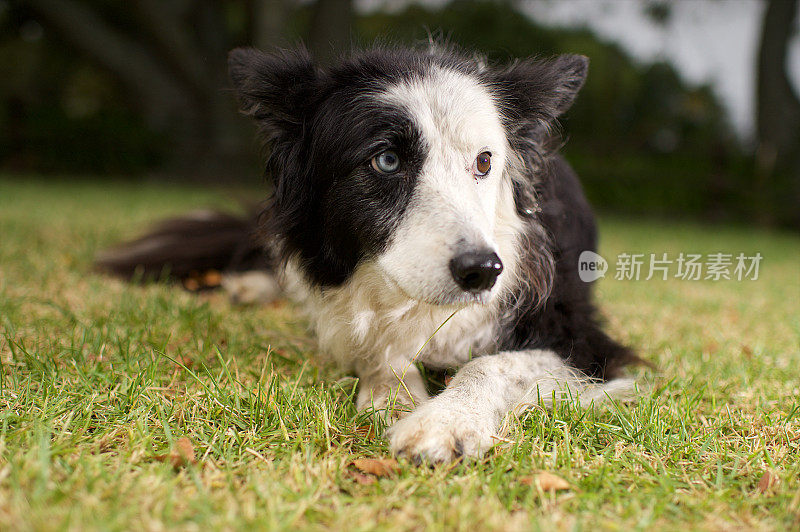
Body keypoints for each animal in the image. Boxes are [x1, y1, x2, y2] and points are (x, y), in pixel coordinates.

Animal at [97, 43, 640, 464]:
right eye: (387, 160)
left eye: (485, 162)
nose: (483, 272)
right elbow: (377, 345)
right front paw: (393, 394)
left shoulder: (582, 337)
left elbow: (491, 364)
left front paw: (443, 422)